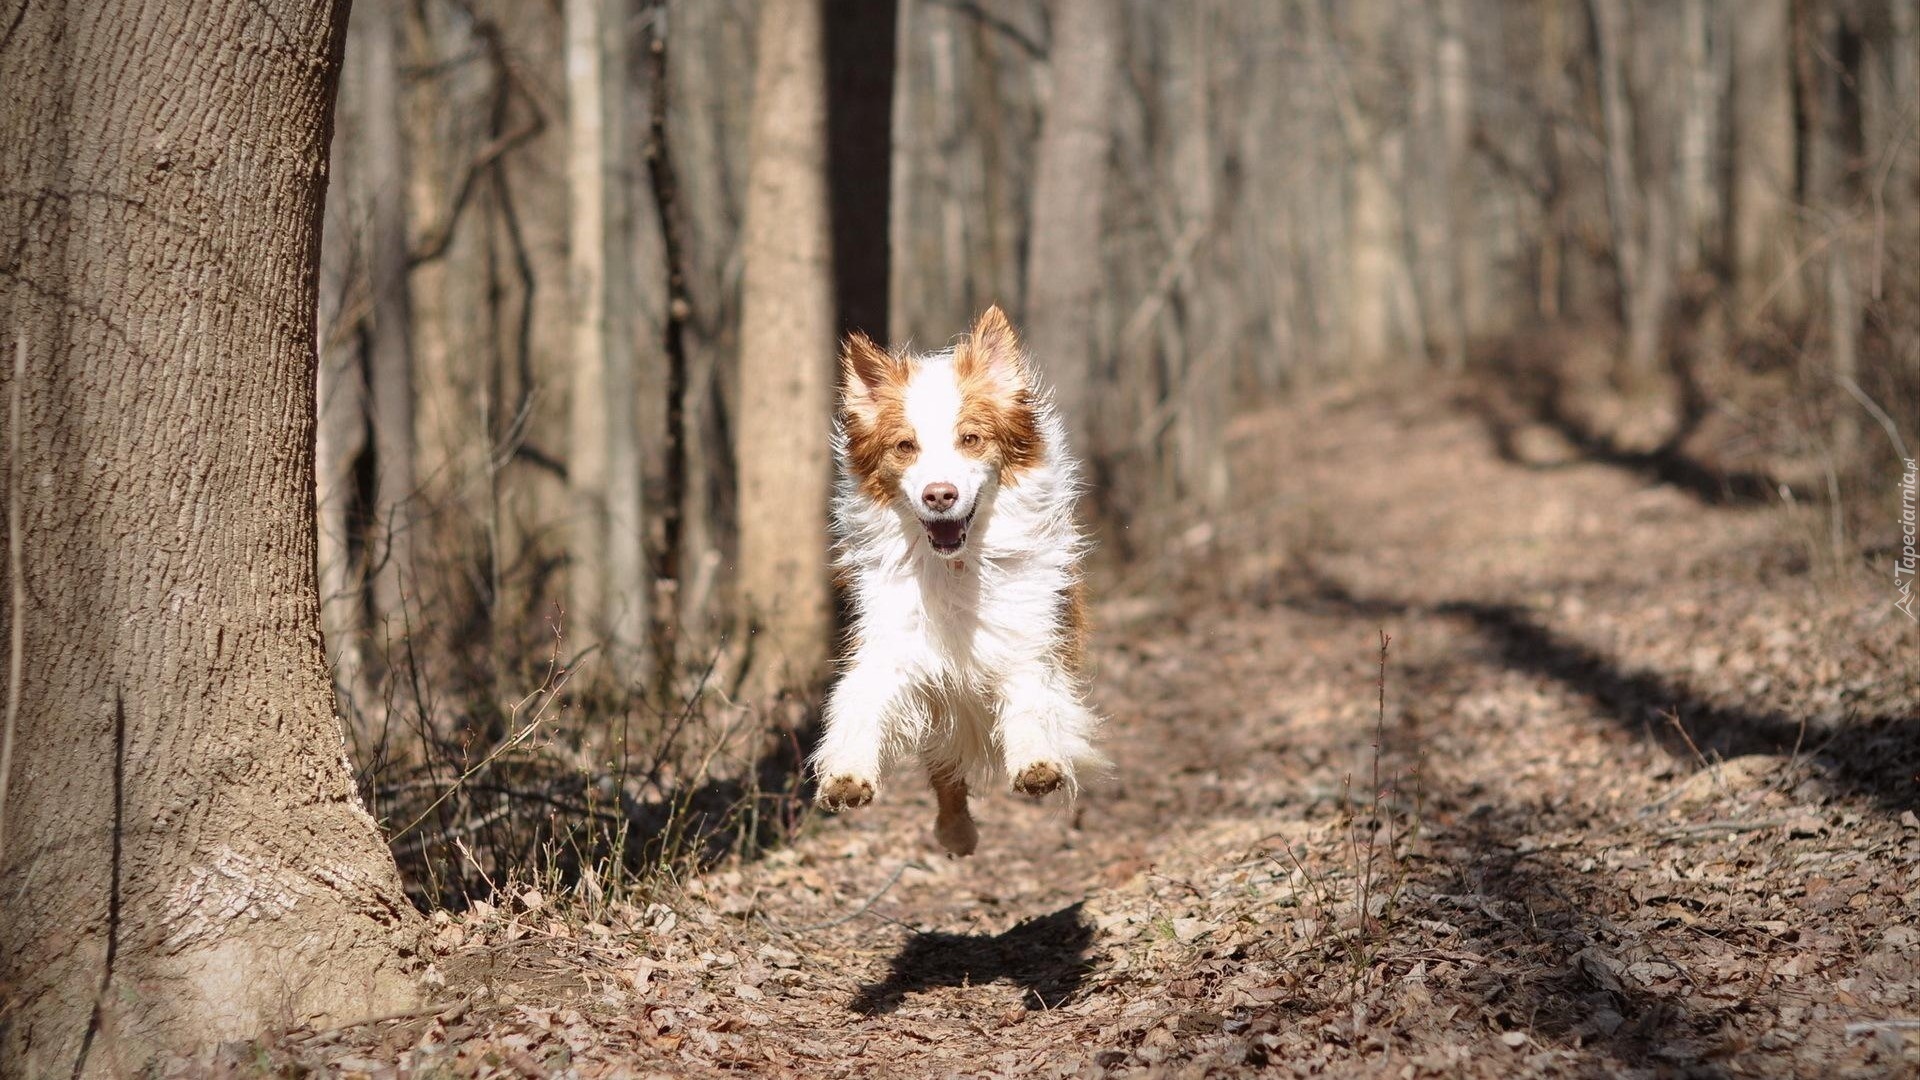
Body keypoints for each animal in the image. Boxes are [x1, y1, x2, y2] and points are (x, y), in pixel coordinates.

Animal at [810, 307, 1113, 853]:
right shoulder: (890, 645)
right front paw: (845, 774)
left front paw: (1037, 763)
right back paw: (956, 833)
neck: (956, 567)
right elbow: (859, 702)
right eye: (905, 446)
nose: (939, 495)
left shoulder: (1026, 639)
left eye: (970, 439)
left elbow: (1031, 699)